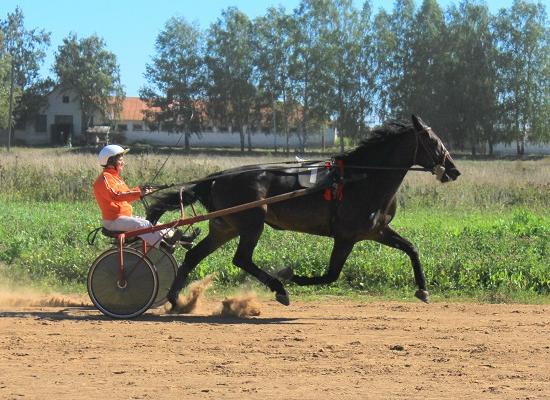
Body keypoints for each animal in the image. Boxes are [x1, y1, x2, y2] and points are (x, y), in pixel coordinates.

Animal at [147, 115, 462, 310]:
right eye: (433, 141)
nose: (454, 170)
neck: (363, 178)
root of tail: (216, 178)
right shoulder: (346, 236)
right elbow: (331, 275)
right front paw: (293, 277)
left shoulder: (376, 231)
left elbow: (411, 249)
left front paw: (423, 289)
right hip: (251, 222)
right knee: (241, 259)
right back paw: (279, 288)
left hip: (226, 226)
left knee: (194, 256)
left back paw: (176, 301)